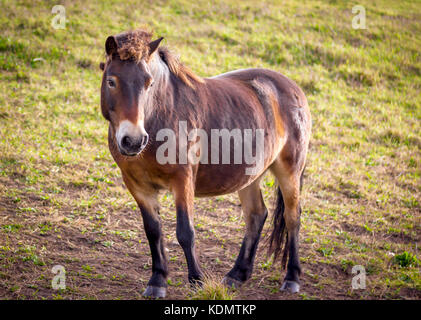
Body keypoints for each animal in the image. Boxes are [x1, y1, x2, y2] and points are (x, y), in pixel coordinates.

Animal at [97, 28, 308, 298]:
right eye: (111, 81)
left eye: (149, 83)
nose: (133, 140)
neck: (160, 119)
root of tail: (292, 87)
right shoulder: (138, 186)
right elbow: (153, 232)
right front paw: (157, 280)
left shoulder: (183, 180)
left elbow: (186, 232)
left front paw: (197, 280)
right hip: (250, 176)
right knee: (256, 215)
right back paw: (237, 275)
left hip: (289, 171)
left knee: (293, 218)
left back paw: (292, 277)